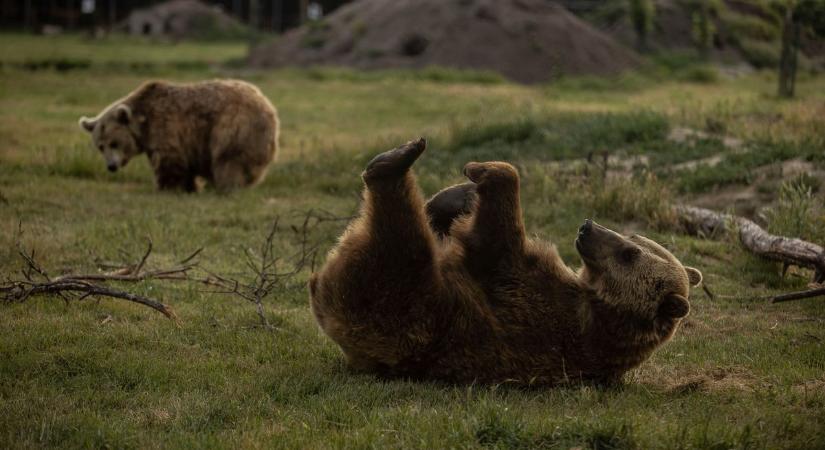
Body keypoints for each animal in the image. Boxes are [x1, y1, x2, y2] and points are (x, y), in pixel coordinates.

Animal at [80, 79, 280, 192]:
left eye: (114, 143)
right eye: (101, 146)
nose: (111, 166)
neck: (144, 124)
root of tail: (268, 105)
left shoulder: (166, 126)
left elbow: (169, 159)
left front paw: (167, 186)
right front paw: (188, 186)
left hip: (234, 125)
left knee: (228, 159)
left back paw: (225, 185)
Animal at [308, 139, 700, 384]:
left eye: (629, 253)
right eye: (633, 238)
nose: (588, 227)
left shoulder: (537, 305)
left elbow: (494, 239)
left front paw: (481, 169)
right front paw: (459, 195)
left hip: (402, 300)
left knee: (401, 236)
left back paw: (396, 159)